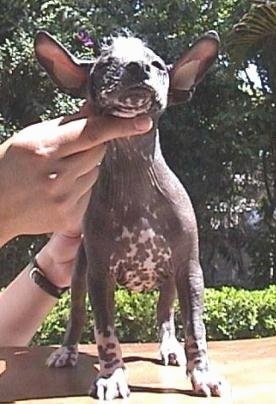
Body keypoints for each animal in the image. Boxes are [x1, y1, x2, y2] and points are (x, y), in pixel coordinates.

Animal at [35, 29, 224, 400]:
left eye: (156, 63)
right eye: (105, 62)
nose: (137, 67)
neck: (134, 167)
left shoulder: (189, 270)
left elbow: (195, 328)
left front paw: (201, 373)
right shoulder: (100, 275)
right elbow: (105, 332)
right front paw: (111, 375)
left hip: (169, 280)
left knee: (164, 314)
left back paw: (169, 346)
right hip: (79, 274)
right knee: (77, 315)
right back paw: (66, 351)